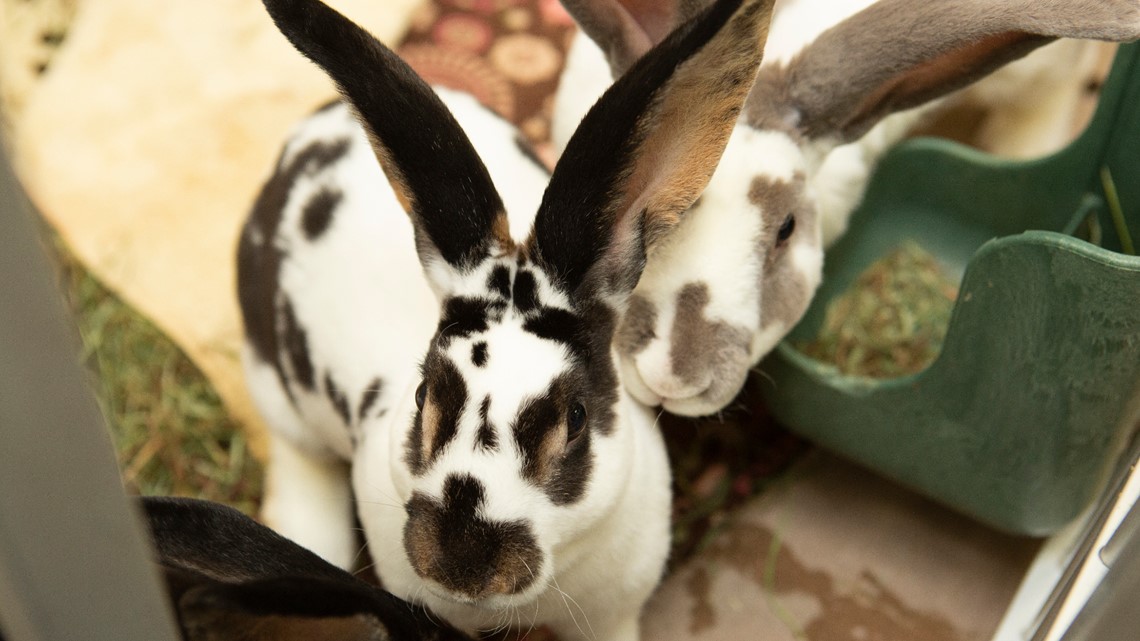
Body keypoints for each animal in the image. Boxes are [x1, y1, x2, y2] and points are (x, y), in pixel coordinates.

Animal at [237, 0, 777, 639]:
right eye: (424, 394)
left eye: (575, 417)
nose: (463, 565)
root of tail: (314, 127)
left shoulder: (615, 614)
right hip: (274, 386)